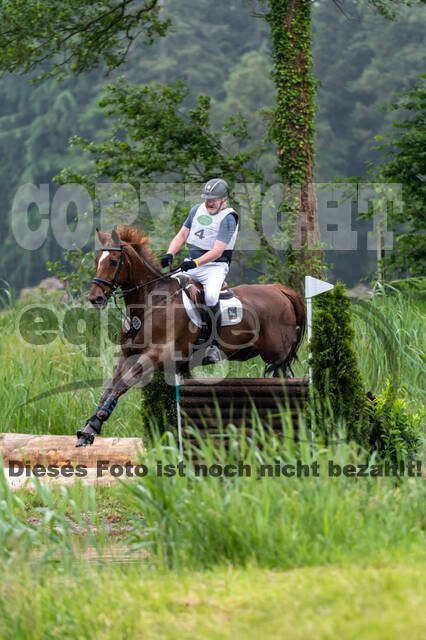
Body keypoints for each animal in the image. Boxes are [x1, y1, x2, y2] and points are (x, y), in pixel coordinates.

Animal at [76, 225, 306, 446]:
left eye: (113, 262)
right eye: (97, 261)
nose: (95, 298)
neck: (151, 304)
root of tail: (280, 290)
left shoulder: (154, 357)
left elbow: (121, 385)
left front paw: (94, 425)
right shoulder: (128, 356)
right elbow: (109, 389)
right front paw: (88, 429)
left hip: (276, 354)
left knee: (285, 377)